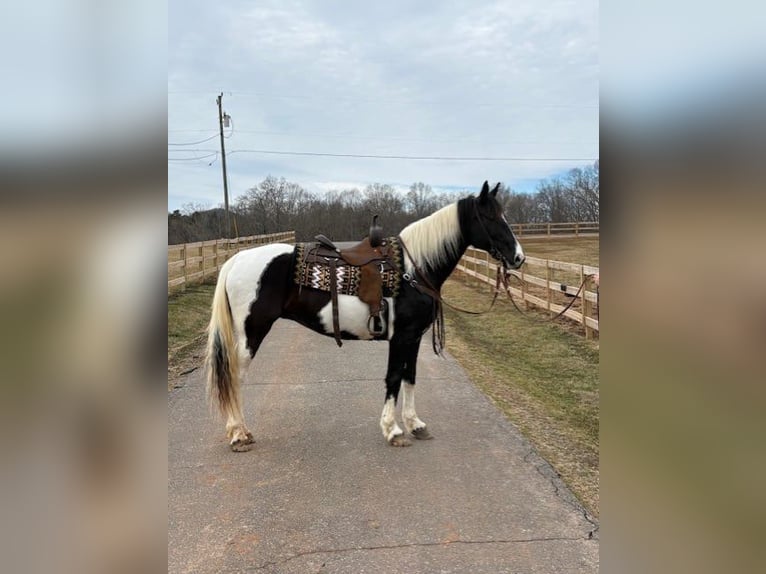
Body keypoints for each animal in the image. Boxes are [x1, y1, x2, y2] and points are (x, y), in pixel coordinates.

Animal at [205, 181, 525, 451]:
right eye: (491, 217)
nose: (519, 258)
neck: (414, 268)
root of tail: (237, 259)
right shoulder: (401, 337)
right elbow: (393, 378)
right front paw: (393, 430)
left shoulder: (414, 338)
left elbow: (410, 376)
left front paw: (415, 425)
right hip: (252, 332)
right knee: (234, 376)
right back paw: (239, 434)